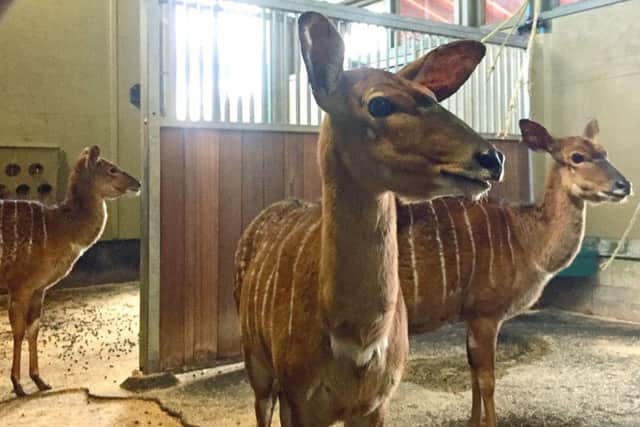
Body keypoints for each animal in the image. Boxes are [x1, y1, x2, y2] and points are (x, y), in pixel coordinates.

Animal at [0, 145, 141, 396]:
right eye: (112, 169)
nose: (138, 183)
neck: (61, 228)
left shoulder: (39, 288)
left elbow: (33, 328)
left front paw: (40, 380)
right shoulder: (19, 286)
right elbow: (18, 330)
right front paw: (17, 385)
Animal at [234, 12, 504, 426]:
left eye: (431, 98)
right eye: (379, 104)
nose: (492, 158)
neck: (357, 339)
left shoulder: (375, 403)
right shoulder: (299, 401)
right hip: (256, 363)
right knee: (260, 407)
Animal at [397, 119, 631, 427]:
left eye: (604, 152)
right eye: (577, 157)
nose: (624, 185)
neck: (524, 238)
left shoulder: (472, 316)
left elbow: (473, 372)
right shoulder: (486, 315)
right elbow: (487, 380)